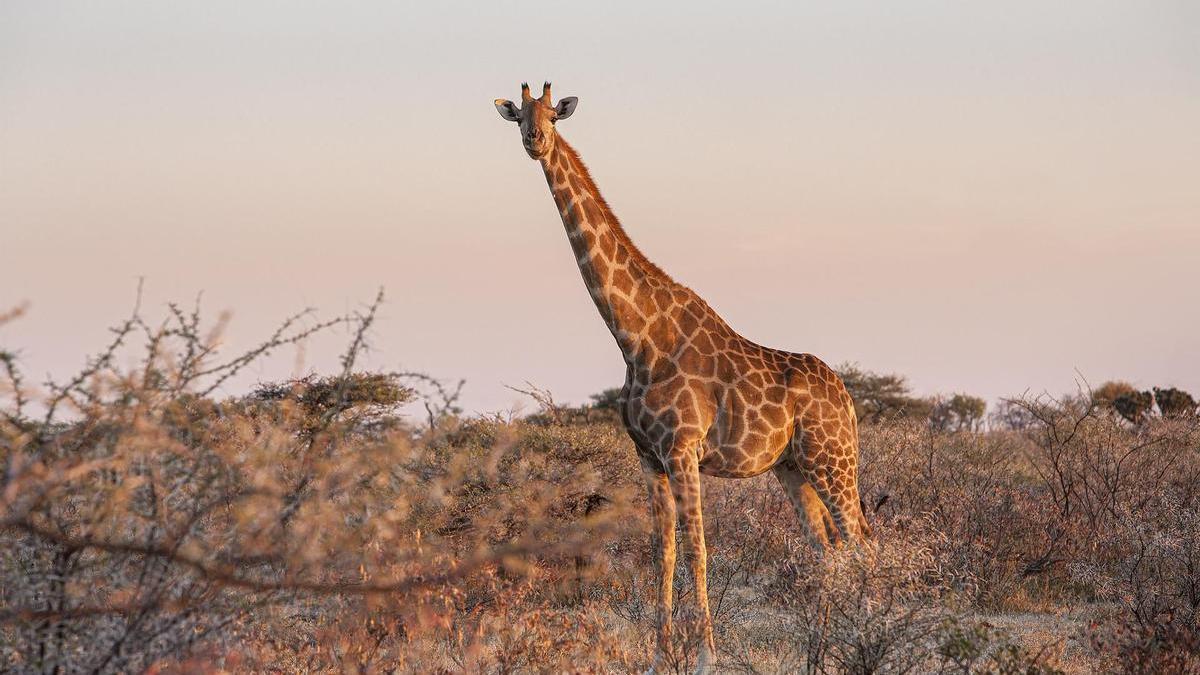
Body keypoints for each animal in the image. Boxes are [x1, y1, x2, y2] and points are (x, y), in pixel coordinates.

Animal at [492, 81, 868, 667]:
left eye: (553, 114)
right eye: (519, 116)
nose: (536, 140)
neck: (636, 336)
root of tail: (847, 397)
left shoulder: (684, 449)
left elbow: (697, 549)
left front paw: (706, 655)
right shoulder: (648, 455)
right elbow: (662, 550)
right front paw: (659, 654)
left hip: (833, 460)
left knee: (862, 544)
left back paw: (870, 635)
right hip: (792, 468)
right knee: (827, 549)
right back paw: (822, 649)